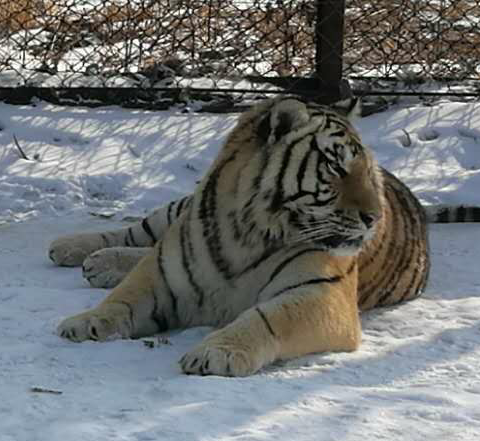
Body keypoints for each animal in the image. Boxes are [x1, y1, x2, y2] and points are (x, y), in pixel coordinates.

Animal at [50, 96, 480, 374]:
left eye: (365, 170)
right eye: (337, 168)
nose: (375, 217)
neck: (247, 231)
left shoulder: (322, 293)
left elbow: (267, 318)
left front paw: (218, 353)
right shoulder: (163, 273)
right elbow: (123, 299)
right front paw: (85, 321)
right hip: (177, 211)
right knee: (141, 232)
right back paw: (75, 250)